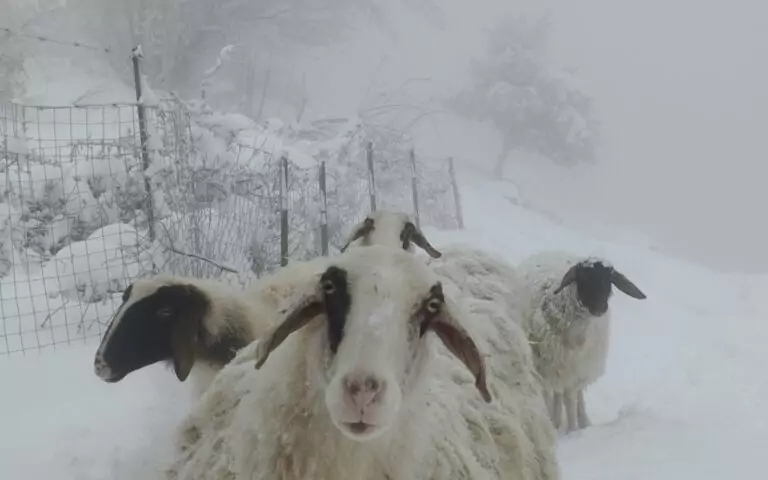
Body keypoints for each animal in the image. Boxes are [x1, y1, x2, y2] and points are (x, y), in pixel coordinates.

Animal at [515, 251, 647, 433]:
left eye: (609, 280)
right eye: (583, 278)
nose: (600, 308)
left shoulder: (576, 369)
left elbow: (572, 400)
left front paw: (575, 428)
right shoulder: (551, 367)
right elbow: (559, 399)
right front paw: (564, 428)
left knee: (569, 395)